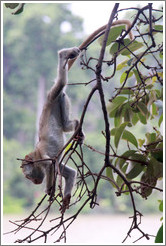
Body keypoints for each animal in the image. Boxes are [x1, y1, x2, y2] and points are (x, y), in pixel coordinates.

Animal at [21, 47, 83, 212]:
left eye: (28, 175)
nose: (33, 181)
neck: (35, 155)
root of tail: (47, 102)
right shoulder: (56, 162)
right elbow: (69, 173)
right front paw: (66, 198)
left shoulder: (43, 158)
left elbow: (50, 166)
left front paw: (49, 190)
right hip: (61, 99)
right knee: (66, 124)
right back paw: (77, 126)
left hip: (53, 96)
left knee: (61, 83)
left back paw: (64, 54)